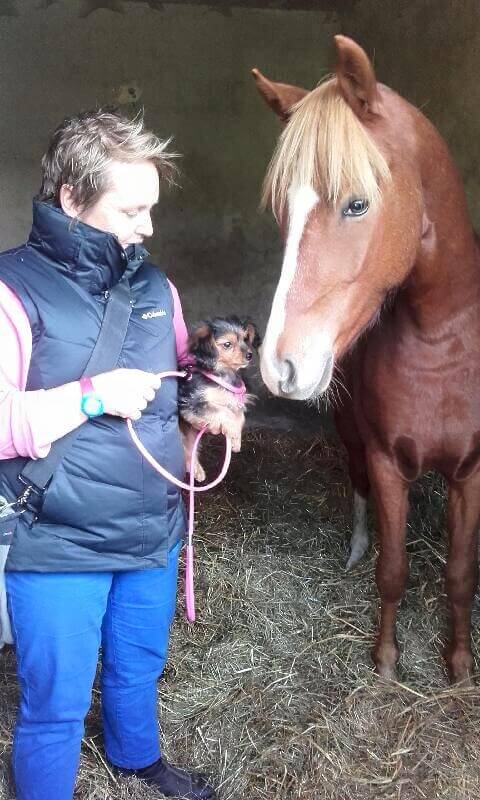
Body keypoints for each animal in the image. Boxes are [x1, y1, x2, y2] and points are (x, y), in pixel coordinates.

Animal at [252, 35, 480, 683]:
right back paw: (355, 546)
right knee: (355, 486)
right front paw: (385, 662)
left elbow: (460, 575)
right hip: (350, 431)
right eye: (282, 213)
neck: (442, 338)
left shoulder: (471, 473)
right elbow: (393, 569)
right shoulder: (384, 461)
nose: (278, 365)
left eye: (357, 204)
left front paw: (459, 666)